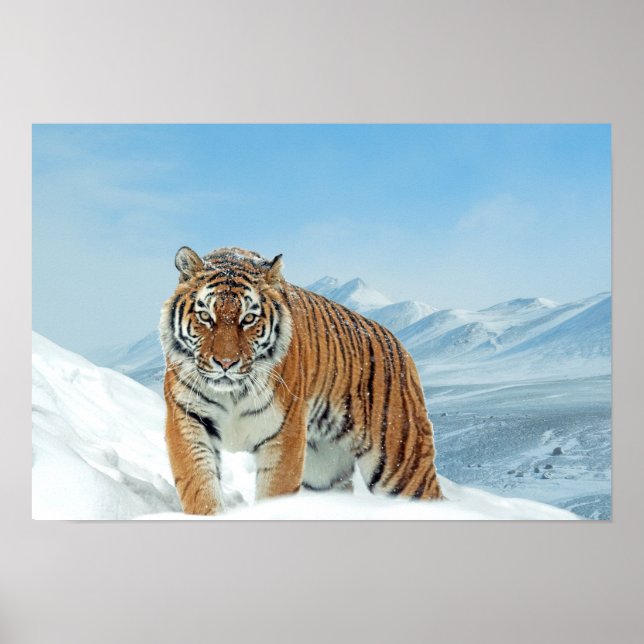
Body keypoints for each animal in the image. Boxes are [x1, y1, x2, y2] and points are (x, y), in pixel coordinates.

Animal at [160, 245, 442, 515]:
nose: (226, 363)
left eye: (248, 319)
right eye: (205, 317)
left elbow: (275, 492)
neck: (232, 393)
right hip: (324, 471)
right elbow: (199, 485)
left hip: (401, 463)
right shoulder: (188, 418)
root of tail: (400, 346)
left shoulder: (284, 433)